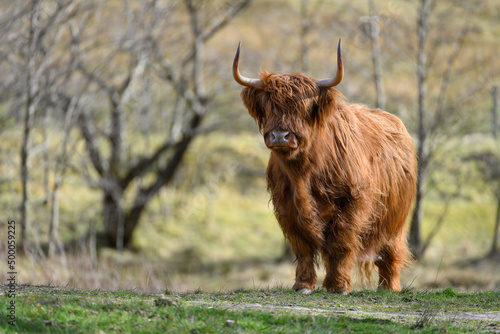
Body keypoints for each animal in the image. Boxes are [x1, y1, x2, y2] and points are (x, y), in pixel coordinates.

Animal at [234, 40, 418, 294]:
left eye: (303, 108)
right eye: (268, 106)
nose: (280, 136)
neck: (303, 173)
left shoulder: (352, 202)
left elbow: (340, 243)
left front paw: (339, 285)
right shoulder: (286, 206)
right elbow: (302, 247)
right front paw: (303, 285)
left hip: (395, 219)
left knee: (390, 254)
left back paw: (389, 287)